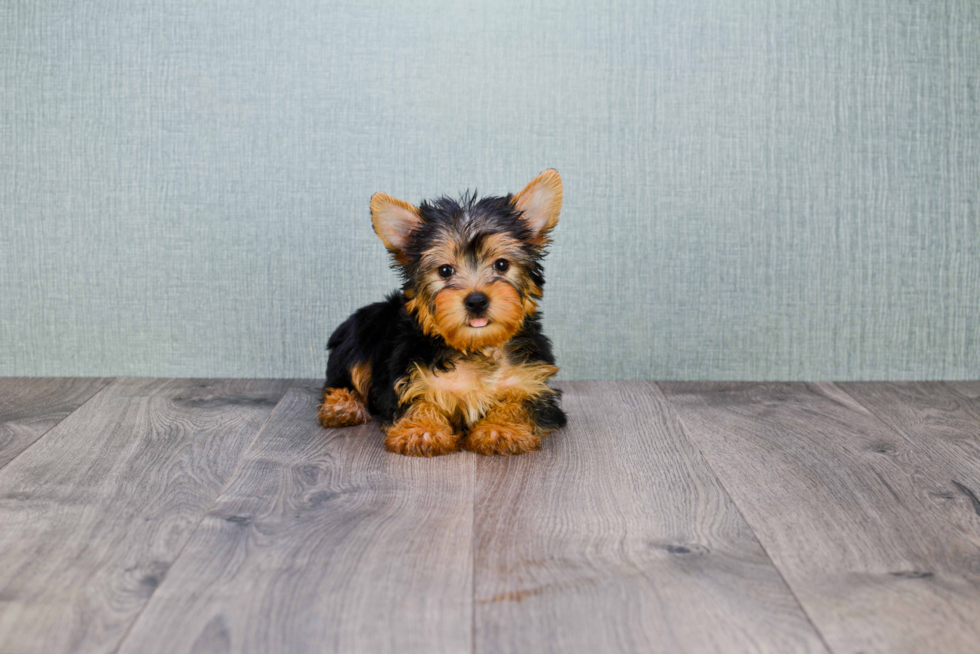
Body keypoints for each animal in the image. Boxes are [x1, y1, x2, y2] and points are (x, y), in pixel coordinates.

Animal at [320, 169, 568, 458]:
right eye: (445, 270)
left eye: (502, 265)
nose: (476, 301)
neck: (476, 347)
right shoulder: (408, 380)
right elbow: (420, 399)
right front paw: (422, 430)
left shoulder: (533, 383)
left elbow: (521, 403)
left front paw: (500, 429)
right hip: (363, 330)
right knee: (343, 376)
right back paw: (342, 406)